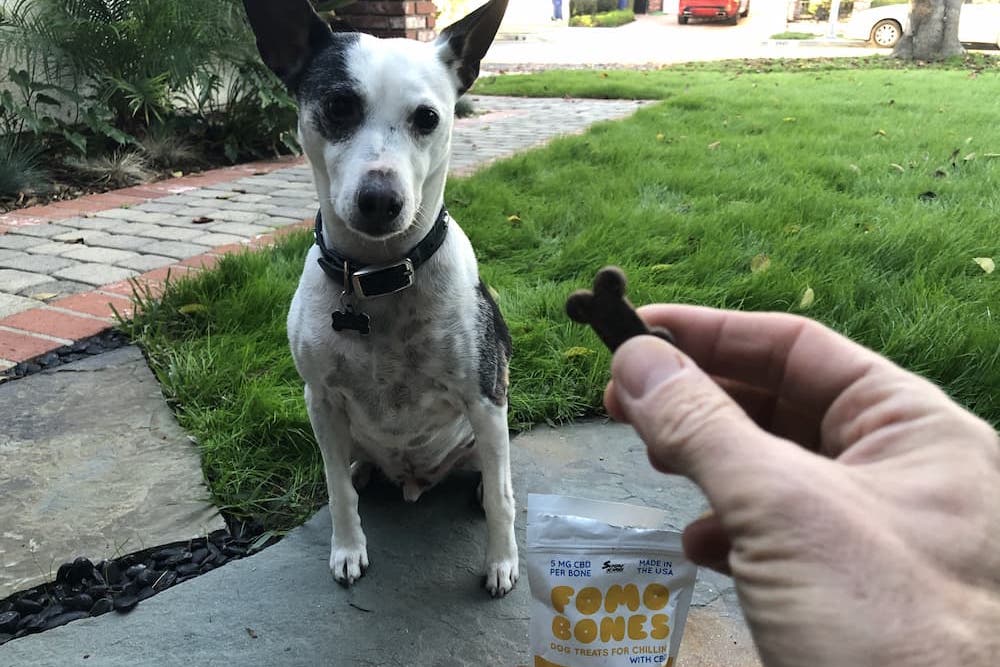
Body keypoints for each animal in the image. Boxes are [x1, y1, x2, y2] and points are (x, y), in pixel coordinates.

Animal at [245, 0, 520, 596]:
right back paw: (362, 471)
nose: (379, 199)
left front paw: (501, 561)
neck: (378, 274)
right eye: (339, 106)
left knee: (494, 474)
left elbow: (504, 500)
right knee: (349, 471)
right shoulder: (320, 401)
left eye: (428, 118)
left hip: (484, 433)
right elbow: (336, 492)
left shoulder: (485, 400)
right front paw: (348, 548)